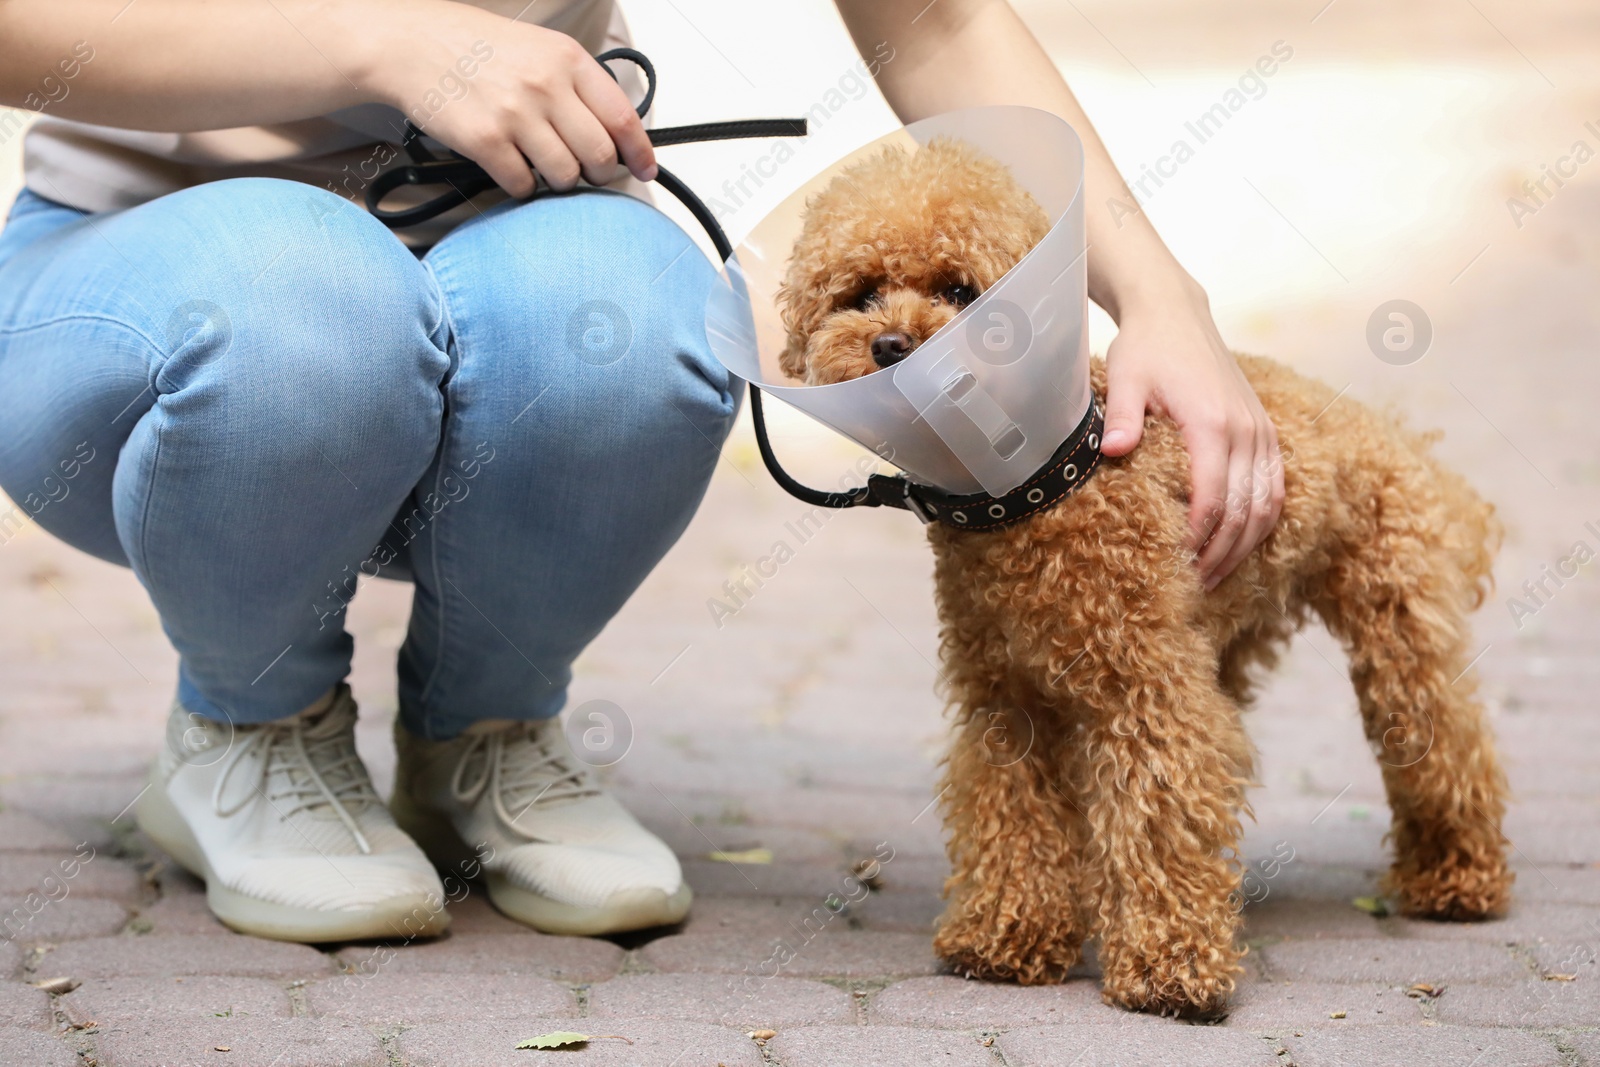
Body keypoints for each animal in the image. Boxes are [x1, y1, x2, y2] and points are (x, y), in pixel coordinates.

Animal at [780, 139, 1516, 1017]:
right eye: (860, 293)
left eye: (961, 290)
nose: (891, 346)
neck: (1043, 485)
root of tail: (1391, 432)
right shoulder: (1006, 701)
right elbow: (1013, 814)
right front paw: (1008, 934)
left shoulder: (1146, 691)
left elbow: (1159, 807)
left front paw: (1172, 964)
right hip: (1225, 631)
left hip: (1395, 632)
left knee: (1446, 745)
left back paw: (1458, 876)